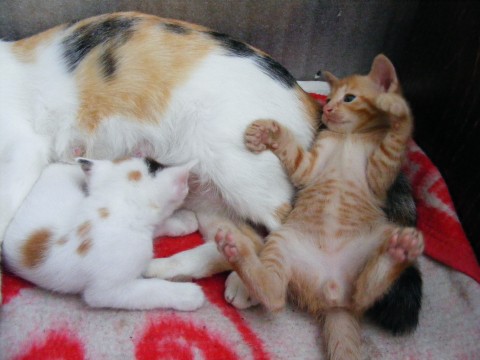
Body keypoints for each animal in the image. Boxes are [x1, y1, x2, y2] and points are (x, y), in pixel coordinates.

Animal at [1, 158, 204, 312]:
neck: (116, 206)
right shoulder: (106, 290)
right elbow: (149, 290)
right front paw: (187, 294)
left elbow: (159, 225)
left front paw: (183, 221)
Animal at [217, 54, 424, 358]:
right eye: (328, 98)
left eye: (348, 97)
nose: (327, 109)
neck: (349, 137)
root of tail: (334, 298)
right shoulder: (309, 166)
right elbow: (292, 150)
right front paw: (267, 131)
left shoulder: (380, 174)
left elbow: (397, 139)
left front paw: (397, 109)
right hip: (284, 242)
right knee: (277, 296)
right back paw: (236, 252)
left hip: (380, 235)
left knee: (364, 293)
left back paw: (399, 253)